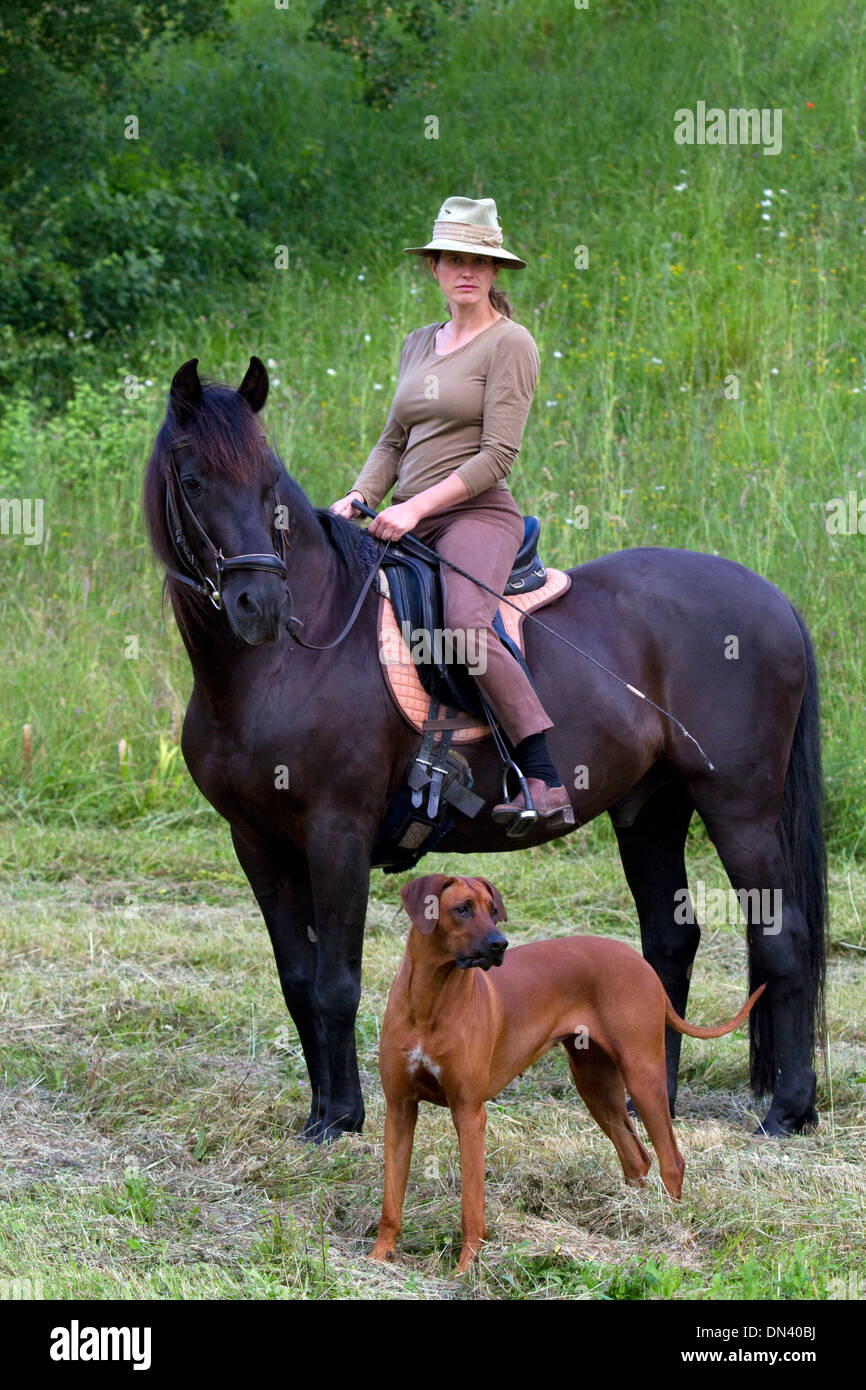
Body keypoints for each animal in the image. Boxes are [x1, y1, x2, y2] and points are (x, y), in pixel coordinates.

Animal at [142, 355, 828, 1139]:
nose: (261, 606)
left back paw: (788, 1110)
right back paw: (648, 1098)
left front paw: (343, 1118)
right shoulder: (256, 842)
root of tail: (772, 598)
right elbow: (296, 981)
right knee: (668, 942)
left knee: (783, 939)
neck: (284, 662)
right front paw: (321, 1113)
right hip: (650, 808)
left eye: (267, 482)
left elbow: (336, 983)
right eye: (194, 481)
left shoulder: (336, 833)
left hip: (739, 808)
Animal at [369, 872, 767, 1273]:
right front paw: (378, 1257)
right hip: (596, 1087)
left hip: (643, 1078)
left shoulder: (468, 1113)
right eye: (462, 909)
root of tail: (642, 965)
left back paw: (669, 1230)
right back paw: (631, 1218)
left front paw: (468, 1265)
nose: (500, 944)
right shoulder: (399, 1109)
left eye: (493, 910)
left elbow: (471, 1203)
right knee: (636, 1158)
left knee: (672, 1161)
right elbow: (390, 1198)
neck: (430, 1001)